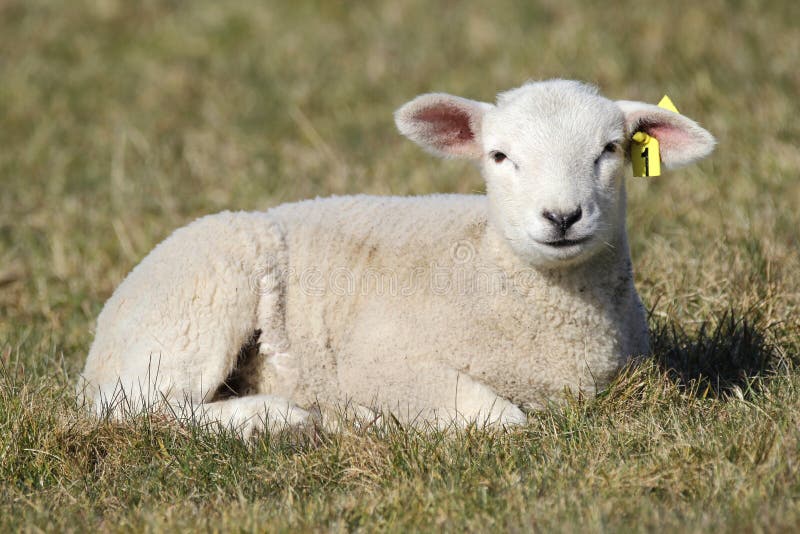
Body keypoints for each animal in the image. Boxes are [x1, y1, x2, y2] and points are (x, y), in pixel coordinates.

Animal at [79, 79, 715, 436]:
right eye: (499, 156)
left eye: (610, 150)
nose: (562, 217)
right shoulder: (379, 362)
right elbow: (503, 421)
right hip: (195, 308)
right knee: (139, 410)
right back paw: (279, 420)